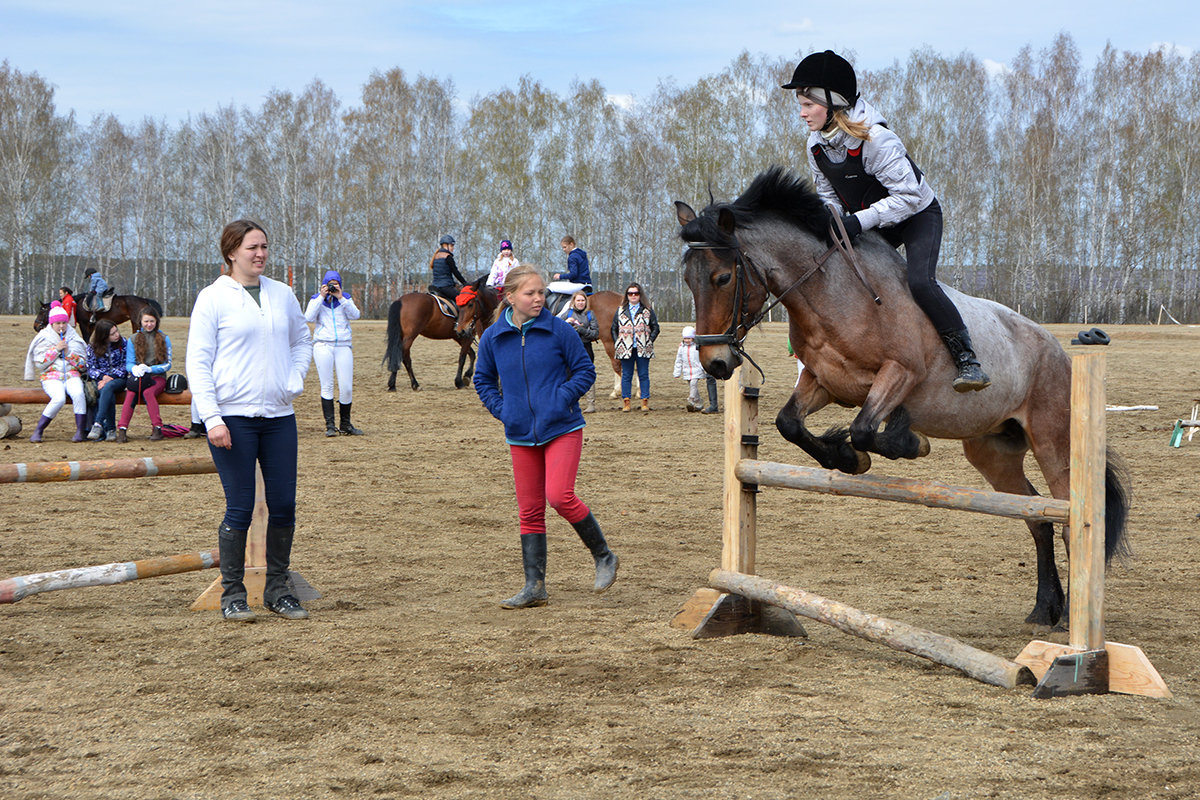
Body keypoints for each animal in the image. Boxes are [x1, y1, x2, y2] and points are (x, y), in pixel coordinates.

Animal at [681, 167, 1128, 633]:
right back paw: (1045, 608)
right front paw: (846, 458)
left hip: (1054, 442)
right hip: (993, 452)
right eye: (688, 280)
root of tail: (1059, 351)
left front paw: (907, 442)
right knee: (1035, 515)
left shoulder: (899, 373)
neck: (833, 292)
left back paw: (1068, 622)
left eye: (723, 278)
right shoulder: (824, 382)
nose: (716, 362)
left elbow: (864, 428)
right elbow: (790, 422)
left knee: (1066, 520)